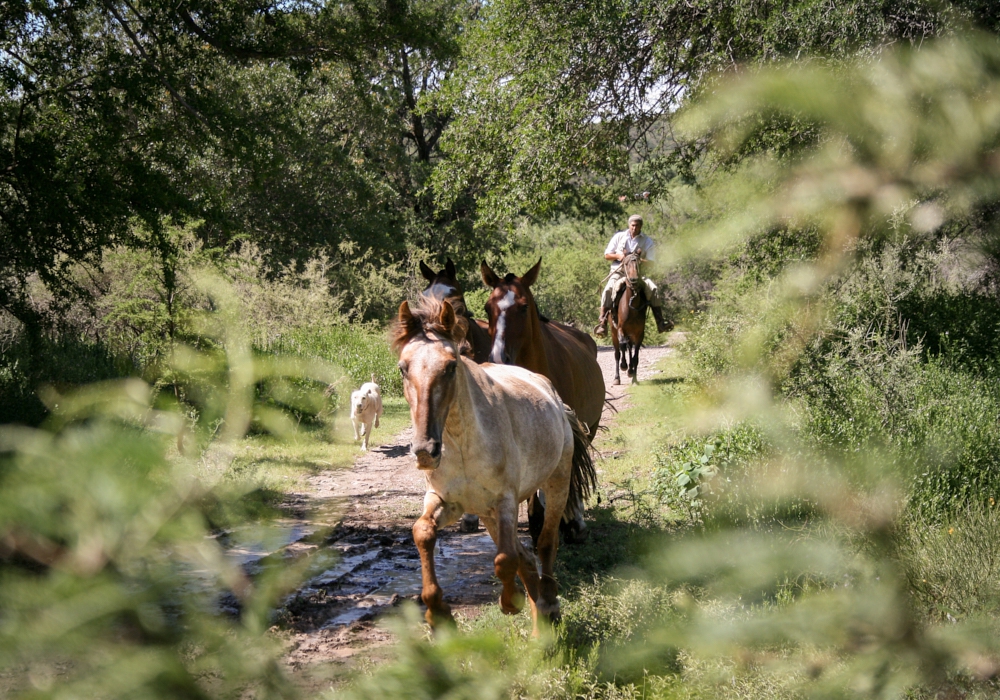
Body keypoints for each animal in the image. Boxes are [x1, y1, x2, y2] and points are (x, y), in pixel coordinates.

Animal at [390, 296, 592, 636]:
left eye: (451, 366)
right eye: (403, 368)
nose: (425, 451)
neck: (463, 444)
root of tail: (552, 393)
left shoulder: (505, 500)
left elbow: (505, 559)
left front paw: (511, 603)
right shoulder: (447, 501)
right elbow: (423, 533)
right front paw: (438, 613)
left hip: (556, 482)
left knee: (545, 544)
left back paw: (549, 601)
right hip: (485, 512)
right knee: (526, 557)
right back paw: (541, 622)